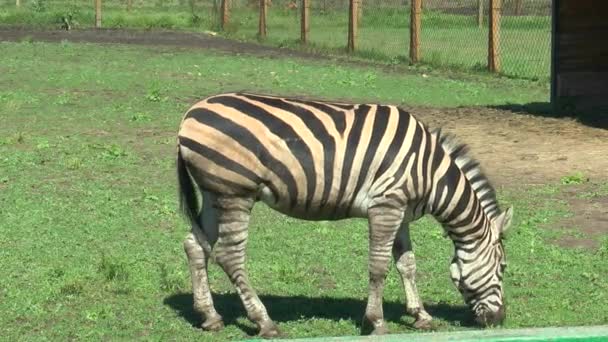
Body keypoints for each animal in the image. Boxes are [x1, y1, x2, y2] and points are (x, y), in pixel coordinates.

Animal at [175, 92, 512, 338]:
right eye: (503, 268)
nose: (499, 319)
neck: (431, 173)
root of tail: (190, 115)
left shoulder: (401, 212)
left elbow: (407, 265)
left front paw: (421, 316)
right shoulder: (386, 205)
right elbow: (379, 267)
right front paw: (376, 322)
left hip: (214, 192)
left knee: (195, 245)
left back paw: (210, 316)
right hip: (235, 192)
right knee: (229, 255)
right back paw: (264, 322)